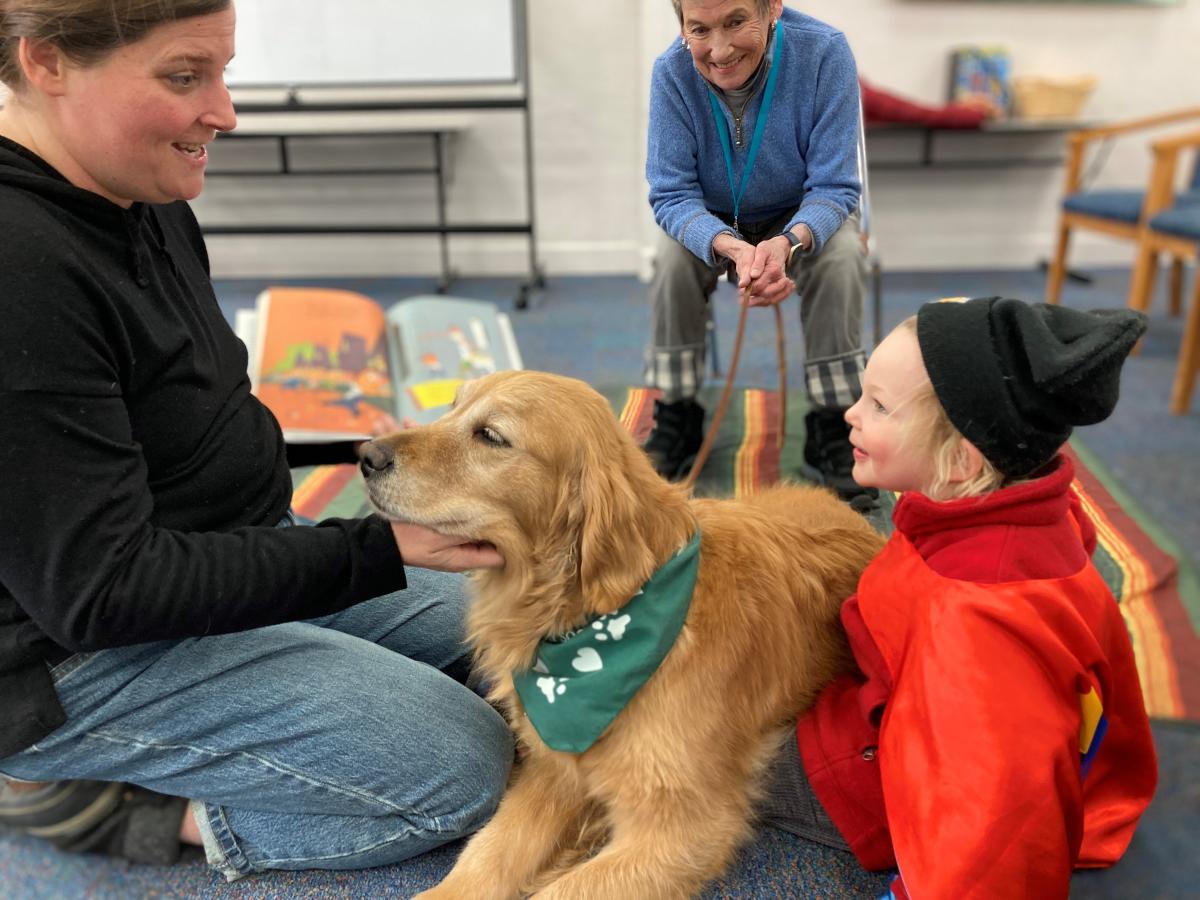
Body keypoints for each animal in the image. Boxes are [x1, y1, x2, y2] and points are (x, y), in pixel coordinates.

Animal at [355, 369, 883, 897]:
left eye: (491, 436)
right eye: (452, 407)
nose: (365, 454)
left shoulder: (688, 825)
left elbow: (563, 889)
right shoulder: (555, 770)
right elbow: (487, 853)